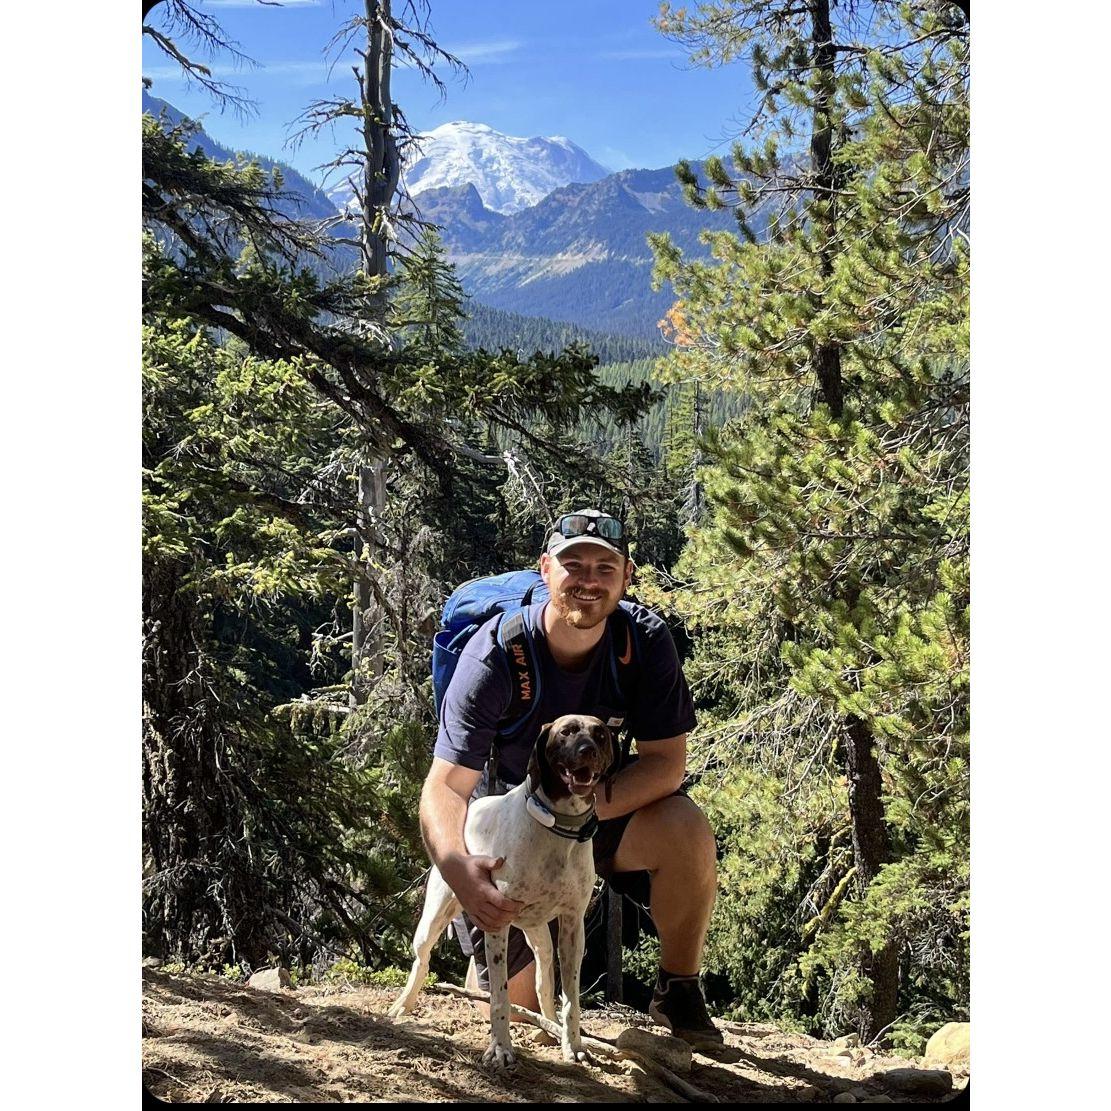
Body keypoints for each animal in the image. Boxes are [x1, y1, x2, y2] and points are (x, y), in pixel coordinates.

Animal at [389, 714, 615, 1070]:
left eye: (601, 734)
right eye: (566, 732)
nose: (588, 750)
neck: (557, 827)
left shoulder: (572, 927)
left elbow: (571, 999)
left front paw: (574, 1045)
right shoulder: (496, 923)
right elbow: (499, 997)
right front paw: (500, 1049)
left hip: (540, 936)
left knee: (543, 981)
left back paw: (550, 1028)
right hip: (435, 917)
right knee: (421, 962)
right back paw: (403, 1004)